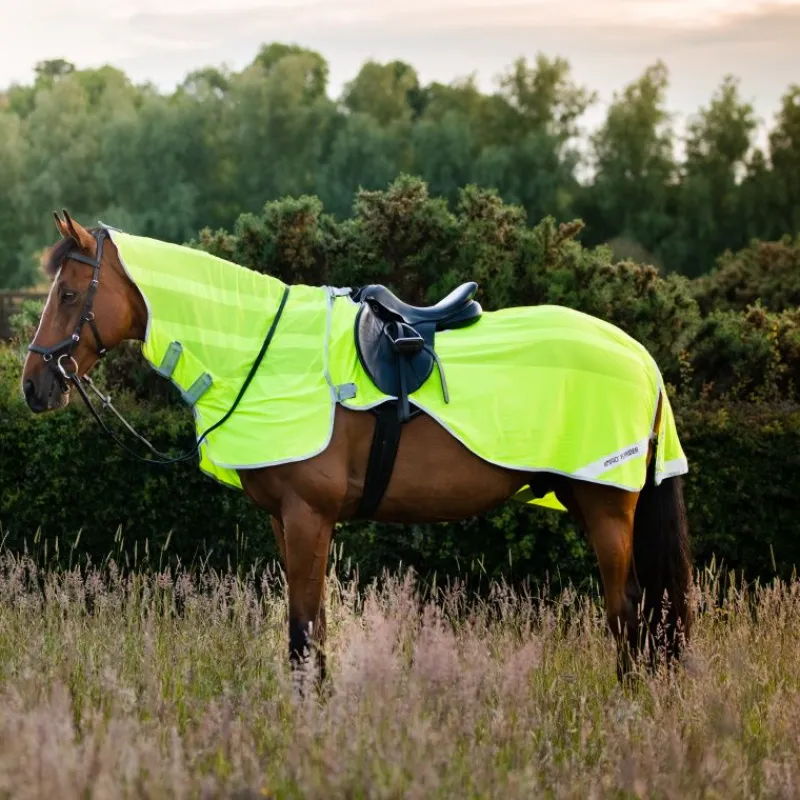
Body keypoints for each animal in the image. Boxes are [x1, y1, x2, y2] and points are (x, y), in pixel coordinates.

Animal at [21, 211, 693, 685]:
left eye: (67, 294)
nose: (34, 386)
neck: (261, 350)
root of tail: (641, 357)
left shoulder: (309, 516)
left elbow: (302, 634)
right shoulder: (286, 521)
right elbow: (312, 633)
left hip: (605, 507)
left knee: (628, 612)